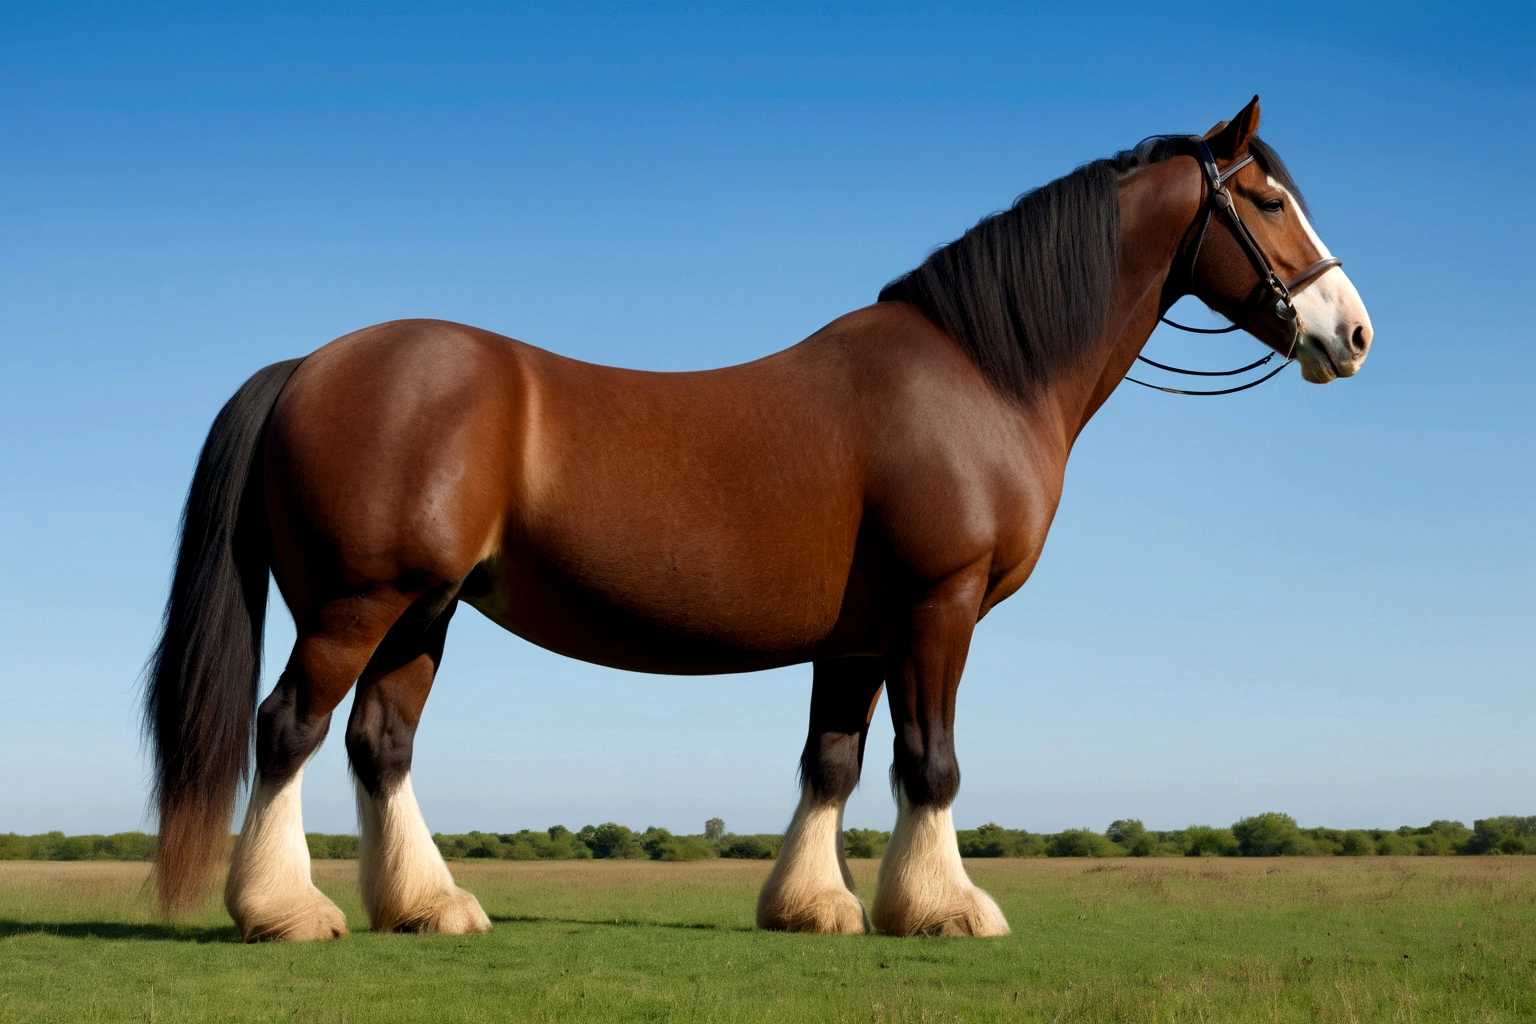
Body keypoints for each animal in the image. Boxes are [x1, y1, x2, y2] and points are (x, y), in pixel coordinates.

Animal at [144, 97, 1372, 940]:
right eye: (1267, 200)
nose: (1350, 331)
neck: (981, 373)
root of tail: (311, 364)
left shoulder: (861, 636)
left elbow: (832, 761)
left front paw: (814, 906)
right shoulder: (938, 608)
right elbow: (931, 760)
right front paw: (946, 908)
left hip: (425, 609)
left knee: (379, 742)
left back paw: (429, 906)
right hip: (358, 602)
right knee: (288, 727)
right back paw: (286, 913)